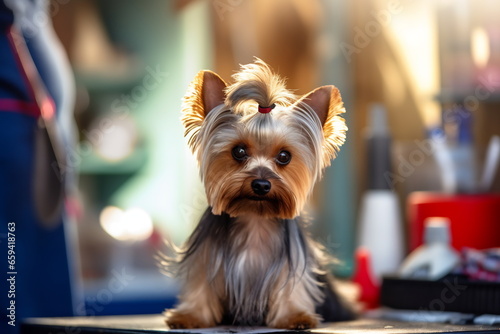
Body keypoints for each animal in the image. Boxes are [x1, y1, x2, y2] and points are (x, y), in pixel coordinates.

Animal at [163, 58, 352, 328]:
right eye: (239, 151)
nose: (261, 185)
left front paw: (295, 316)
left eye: (284, 156)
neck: (254, 218)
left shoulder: (292, 263)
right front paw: (190, 315)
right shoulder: (206, 256)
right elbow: (202, 284)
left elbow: (290, 288)